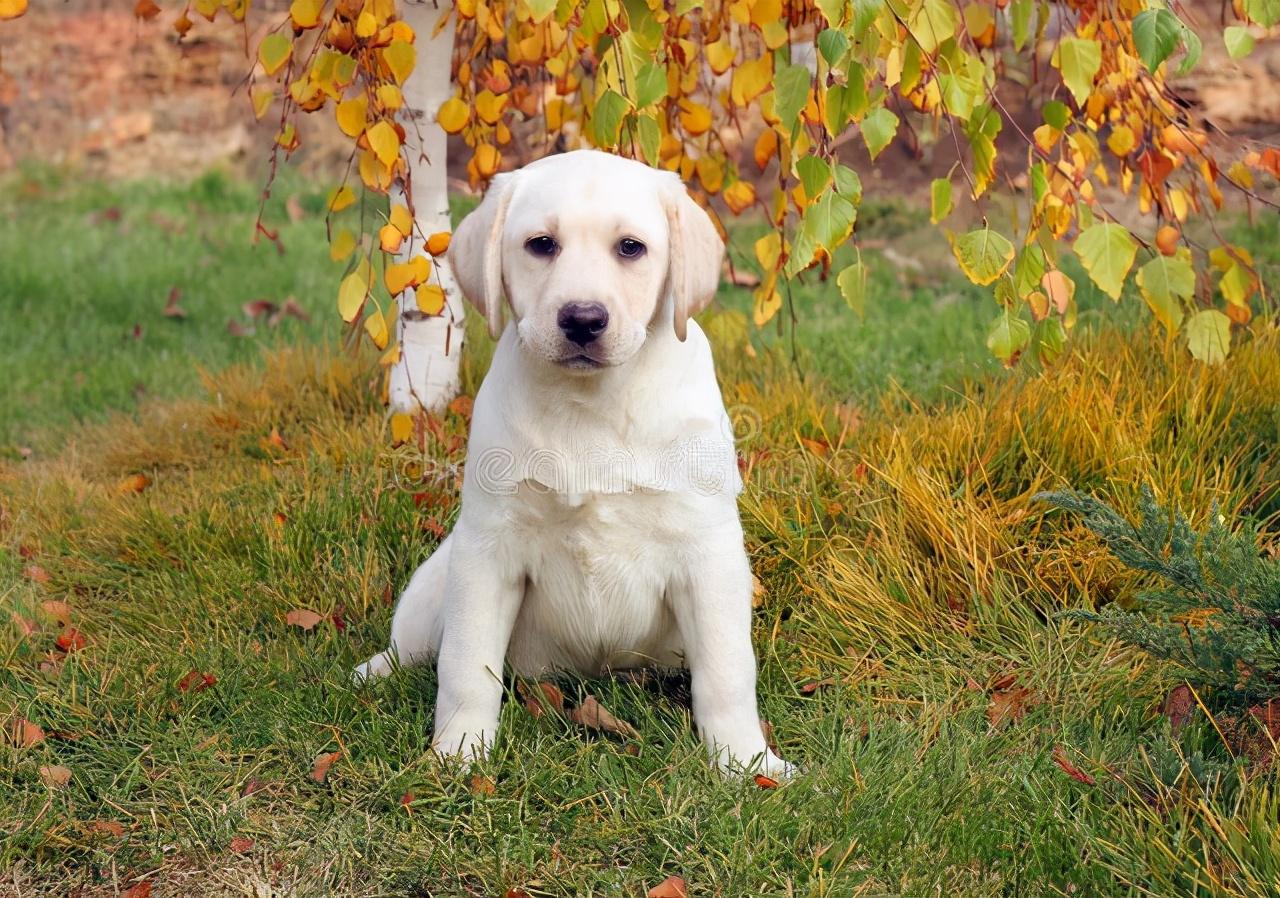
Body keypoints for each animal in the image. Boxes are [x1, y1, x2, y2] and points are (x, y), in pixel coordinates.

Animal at [358, 149, 788, 782]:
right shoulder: (489, 549)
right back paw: (373, 671)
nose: (583, 319)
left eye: (631, 248)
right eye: (541, 245)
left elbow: (727, 672)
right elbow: (465, 665)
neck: (592, 404)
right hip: (439, 575)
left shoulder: (707, 551)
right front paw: (459, 753)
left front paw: (745, 761)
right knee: (415, 645)